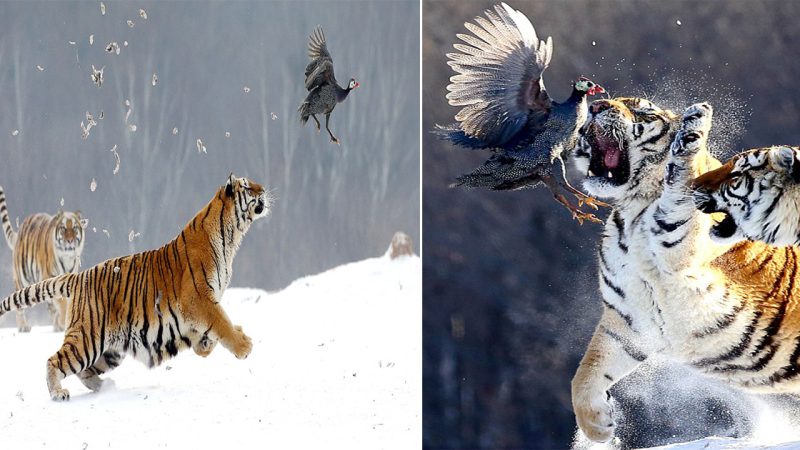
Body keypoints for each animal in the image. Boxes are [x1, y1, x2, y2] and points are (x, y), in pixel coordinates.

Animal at [0, 185, 86, 332]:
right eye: (63, 228)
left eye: (75, 228)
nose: (70, 241)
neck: (67, 257)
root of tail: (19, 232)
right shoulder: (52, 277)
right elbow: (61, 301)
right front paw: (64, 319)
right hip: (23, 279)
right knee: (18, 304)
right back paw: (23, 326)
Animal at [568, 99, 800, 442]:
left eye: (644, 112)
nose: (595, 105)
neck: (632, 211)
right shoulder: (630, 321)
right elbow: (587, 372)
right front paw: (599, 427)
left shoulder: (679, 247)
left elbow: (677, 190)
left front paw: (695, 125)